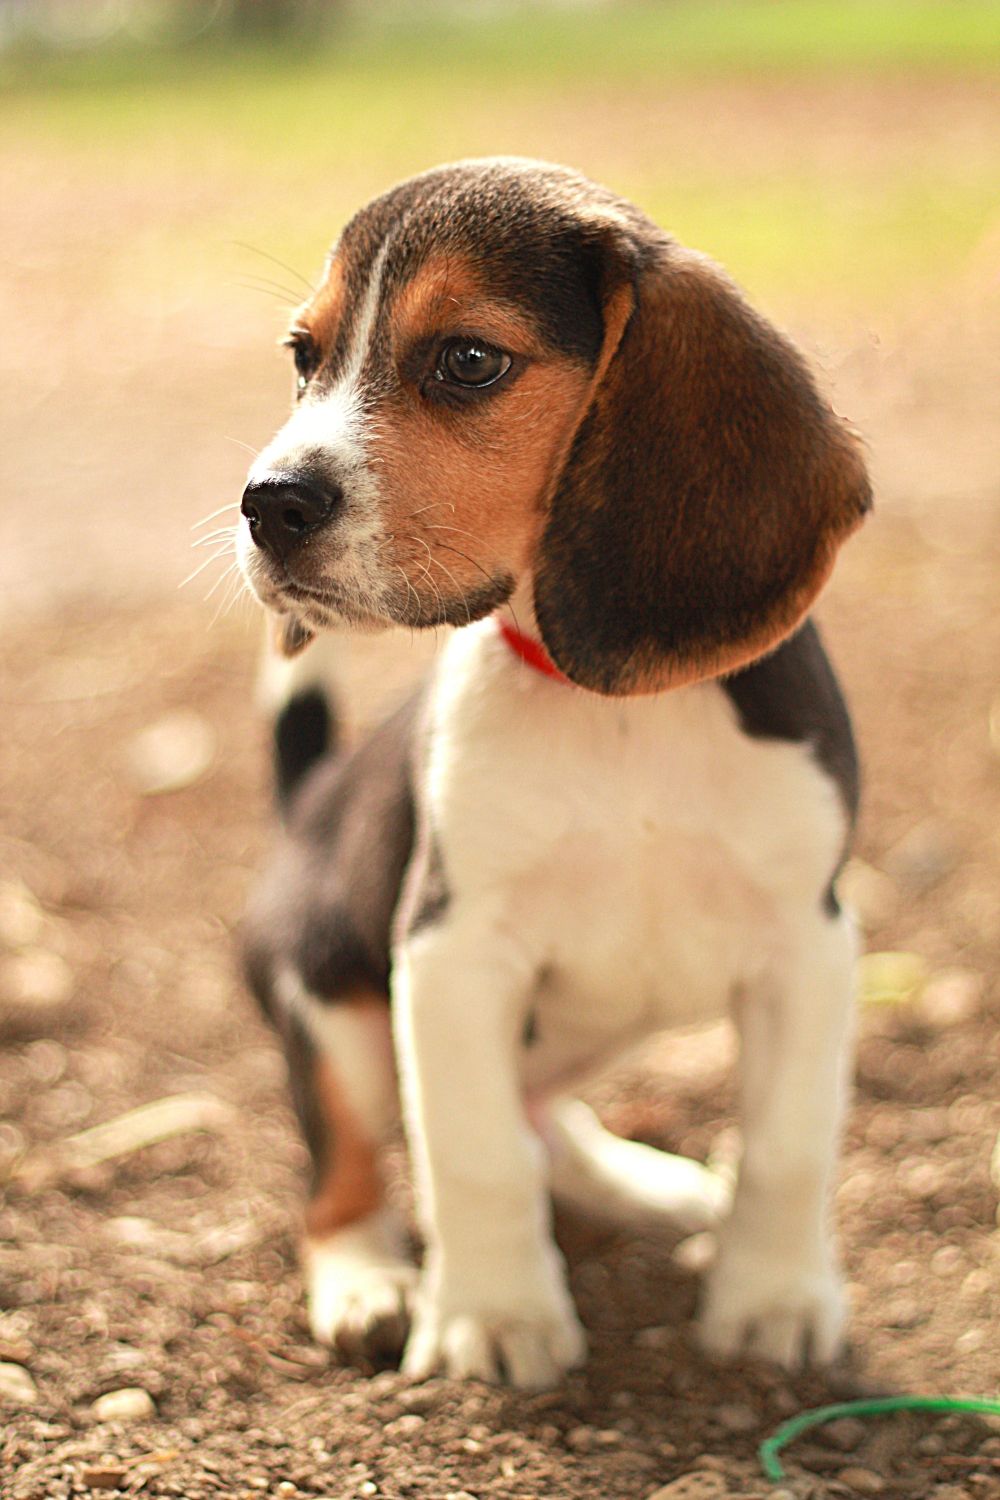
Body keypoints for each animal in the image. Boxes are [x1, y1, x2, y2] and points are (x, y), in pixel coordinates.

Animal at [232, 158, 869, 1386]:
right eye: (302, 356)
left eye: (468, 360)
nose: (266, 502)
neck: (610, 710)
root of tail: (302, 815)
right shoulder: (449, 949)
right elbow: (470, 1152)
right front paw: (493, 1315)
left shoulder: (806, 946)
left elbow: (788, 1143)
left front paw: (770, 1299)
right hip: (332, 1005)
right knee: (344, 1170)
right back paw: (370, 1281)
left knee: (540, 1116)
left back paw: (645, 1183)